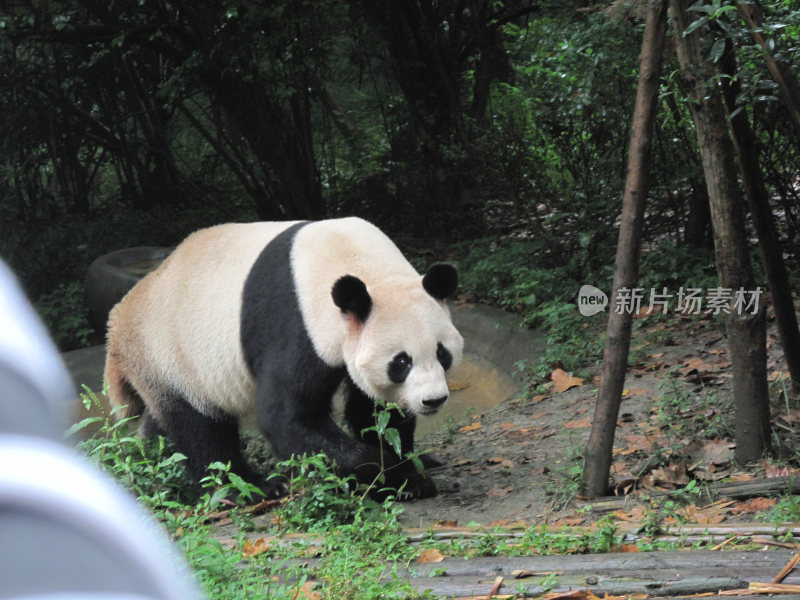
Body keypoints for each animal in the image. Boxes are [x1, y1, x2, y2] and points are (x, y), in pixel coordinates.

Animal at [102, 218, 462, 500]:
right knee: (200, 430)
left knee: (162, 425)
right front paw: (393, 473)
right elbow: (287, 416)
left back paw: (151, 461)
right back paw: (249, 488)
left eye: (442, 353)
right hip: (171, 357)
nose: (433, 400)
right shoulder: (297, 322)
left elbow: (376, 412)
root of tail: (118, 321)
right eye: (401, 362)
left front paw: (406, 471)